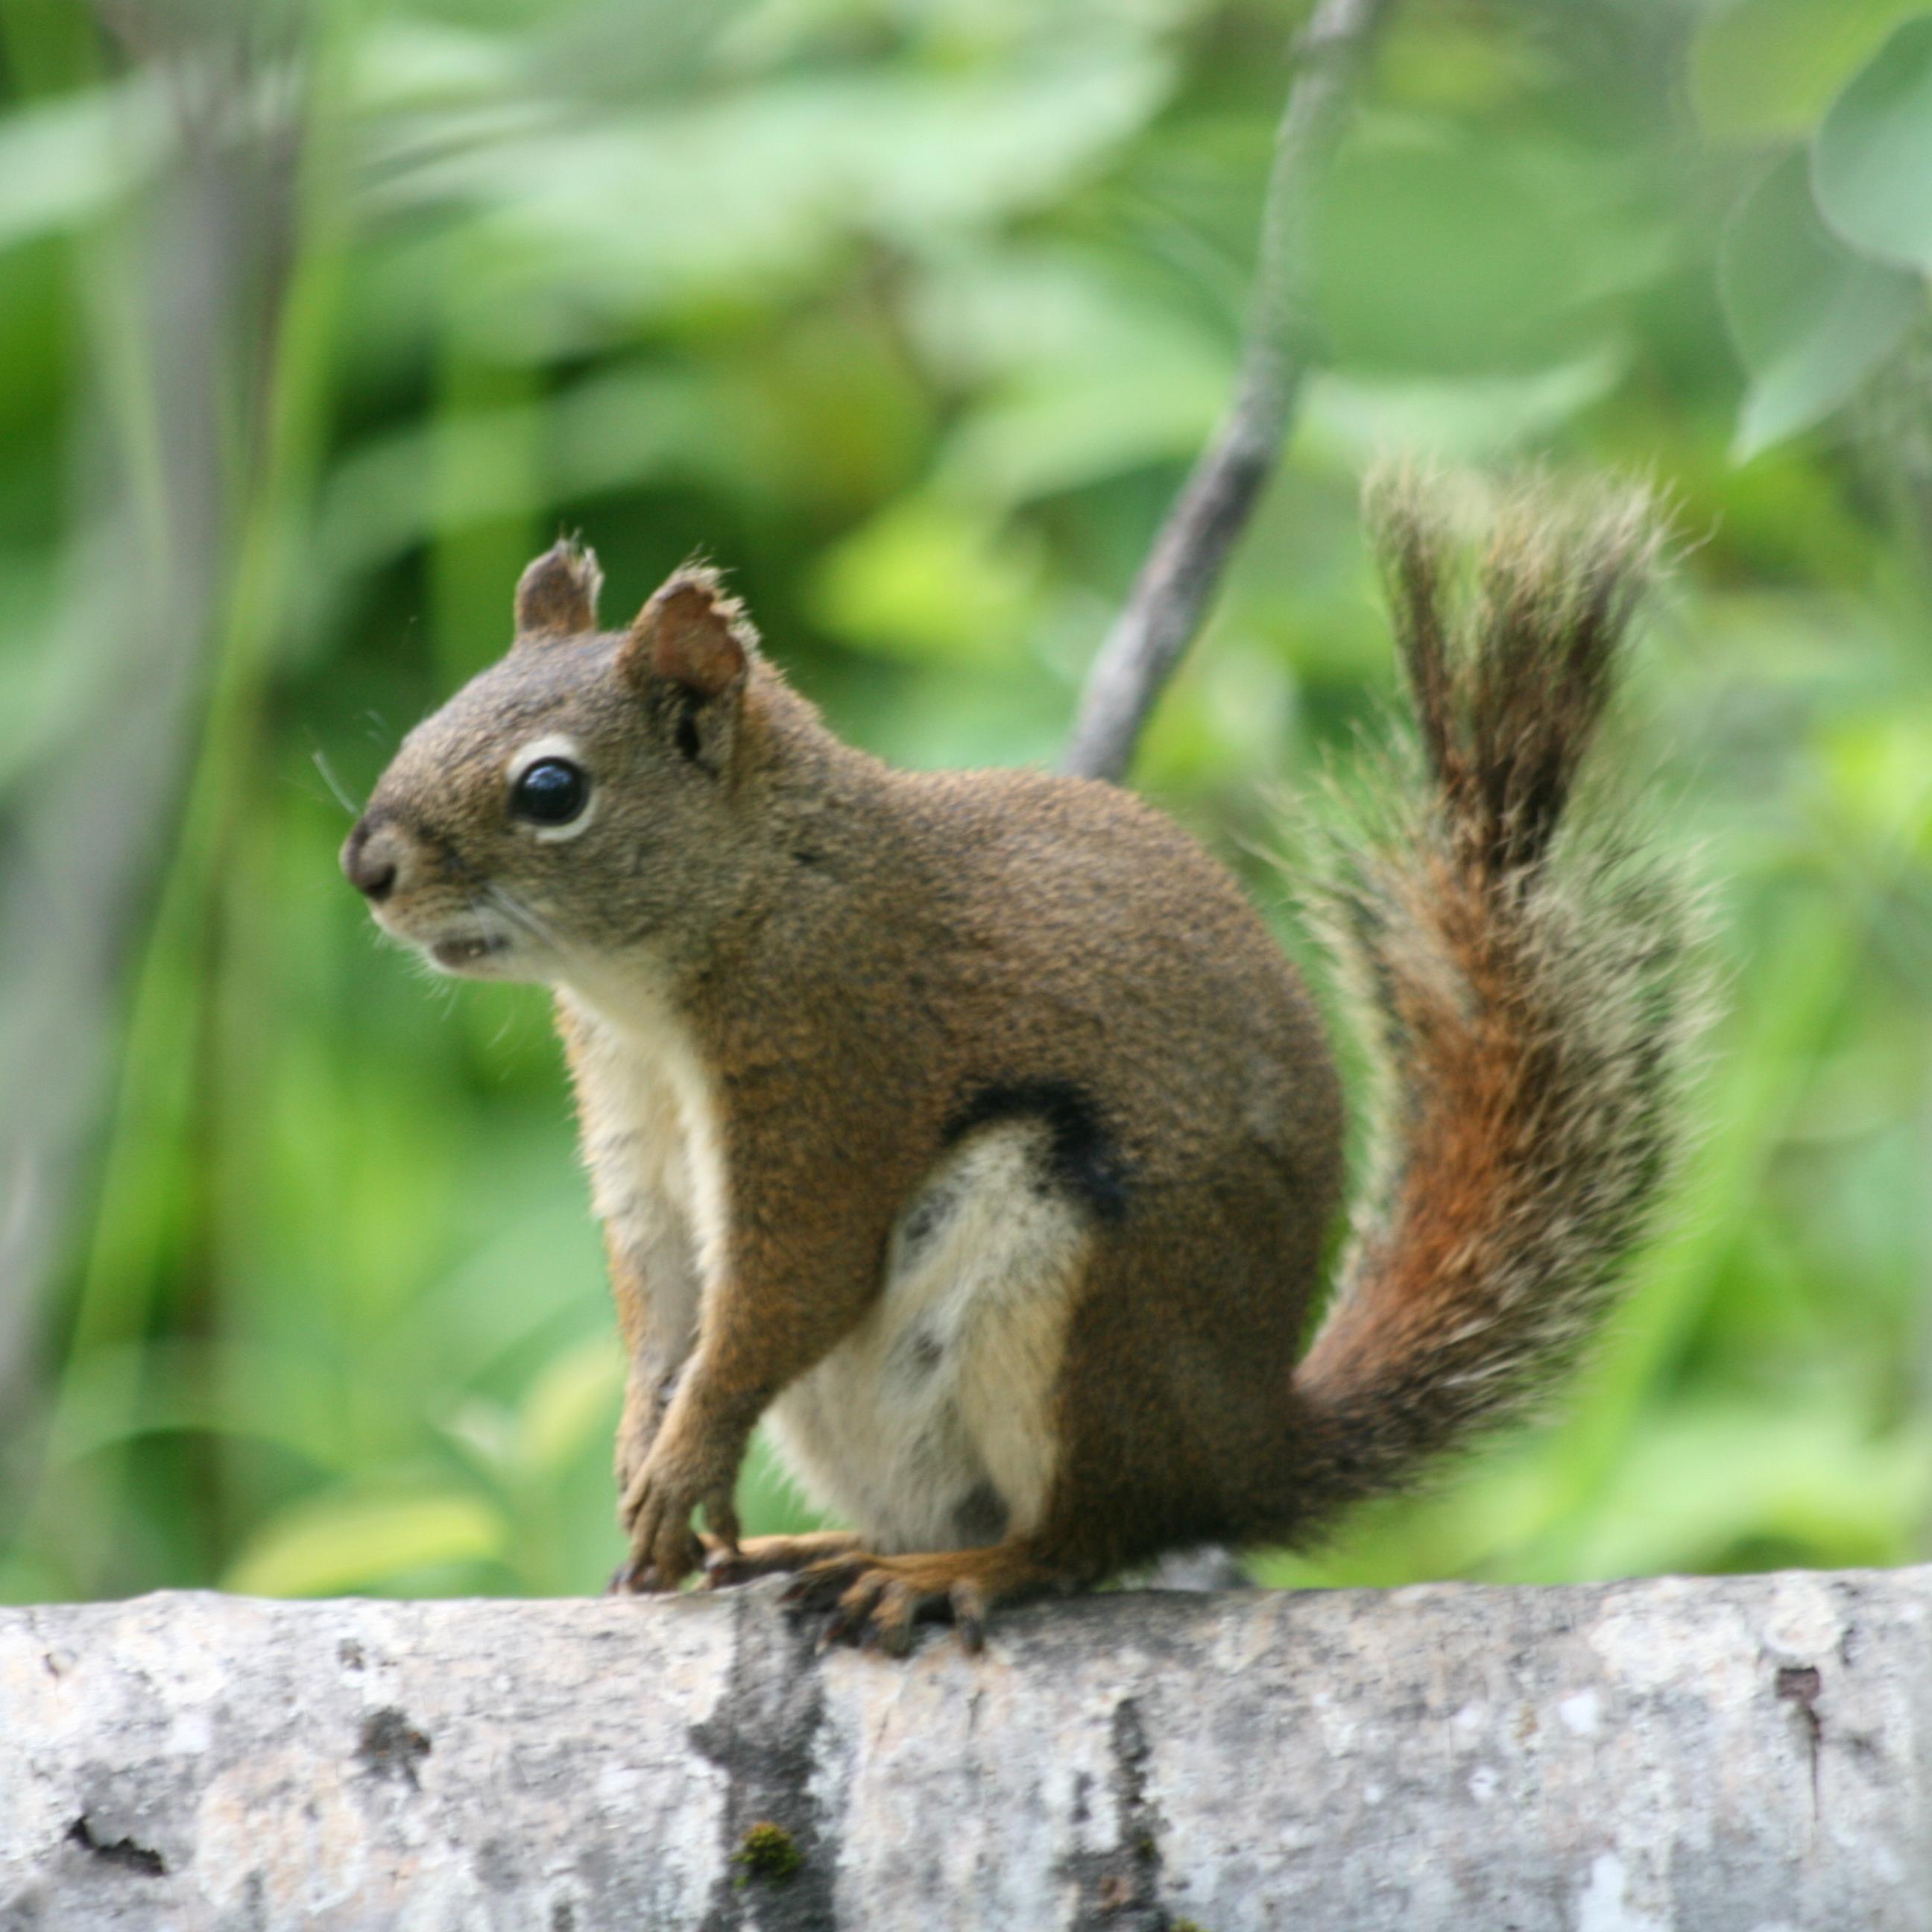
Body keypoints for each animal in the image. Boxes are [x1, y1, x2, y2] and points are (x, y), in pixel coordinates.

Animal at [341, 468, 1696, 1653]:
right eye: (425, 720)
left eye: (551, 789)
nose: (367, 866)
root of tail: (1244, 1451)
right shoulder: (631, 1126)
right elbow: (663, 1303)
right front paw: (648, 1451)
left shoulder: (835, 1057)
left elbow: (788, 1288)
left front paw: (681, 1463)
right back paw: (817, 1548)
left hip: (1072, 1300)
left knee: (1077, 1537)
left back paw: (949, 1574)